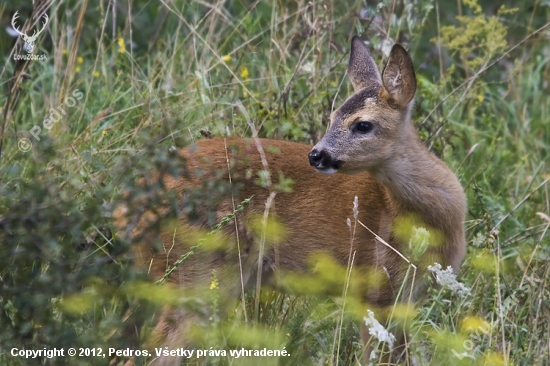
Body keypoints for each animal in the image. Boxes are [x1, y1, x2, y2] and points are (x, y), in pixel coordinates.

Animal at [115, 37, 466, 366]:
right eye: (331, 117)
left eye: (363, 124)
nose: (316, 155)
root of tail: (127, 204)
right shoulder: (376, 289)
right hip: (198, 273)